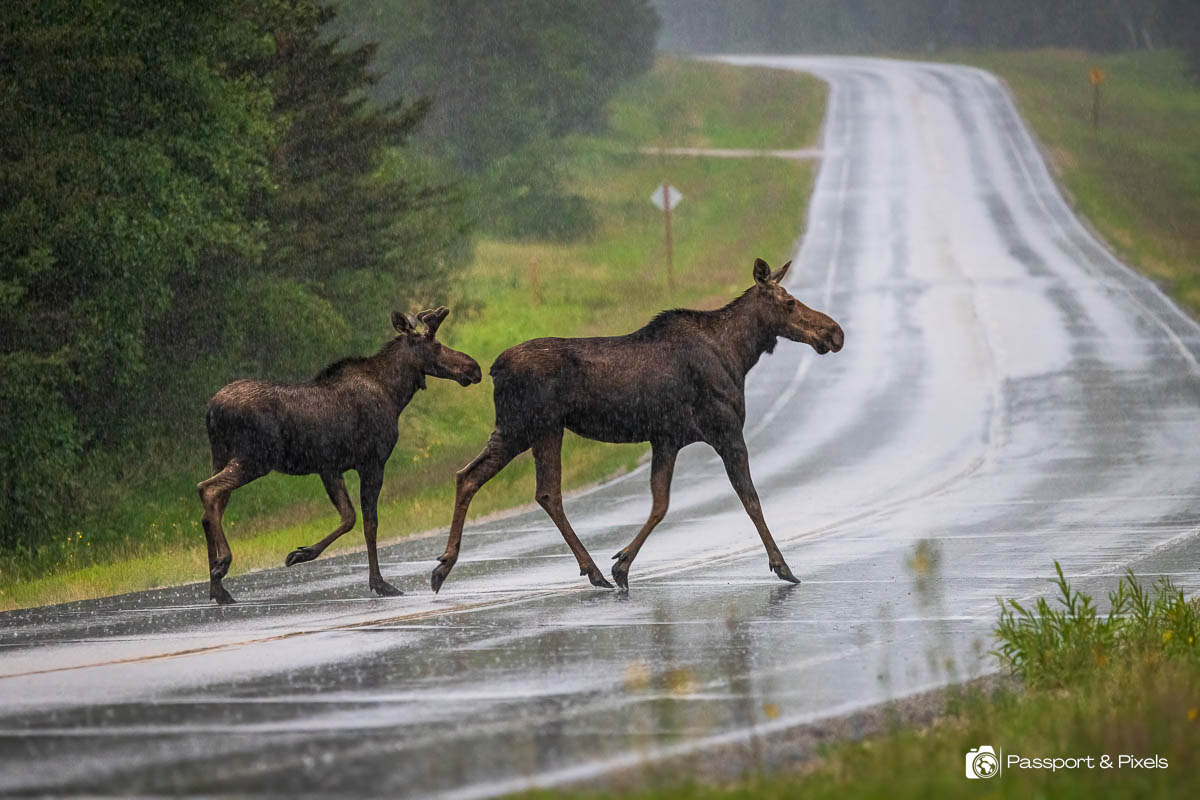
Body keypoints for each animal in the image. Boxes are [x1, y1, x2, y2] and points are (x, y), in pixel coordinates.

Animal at [198, 307, 481, 604]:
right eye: (436, 344)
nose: (473, 367)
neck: (395, 394)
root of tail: (212, 409)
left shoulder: (330, 467)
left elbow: (348, 517)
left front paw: (301, 553)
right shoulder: (372, 462)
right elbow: (369, 523)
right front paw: (380, 583)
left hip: (222, 456)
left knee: (208, 512)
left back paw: (218, 588)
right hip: (254, 459)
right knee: (207, 489)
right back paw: (223, 564)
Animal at [430, 257, 844, 594]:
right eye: (789, 302)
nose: (835, 332)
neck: (740, 355)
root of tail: (493, 370)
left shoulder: (667, 439)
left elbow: (660, 503)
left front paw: (622, 565)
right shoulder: (725, 430)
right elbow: (751, 499)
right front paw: (783, 566)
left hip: (537, 430)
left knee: (507, 484)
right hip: (526, 426)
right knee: (497, 481)